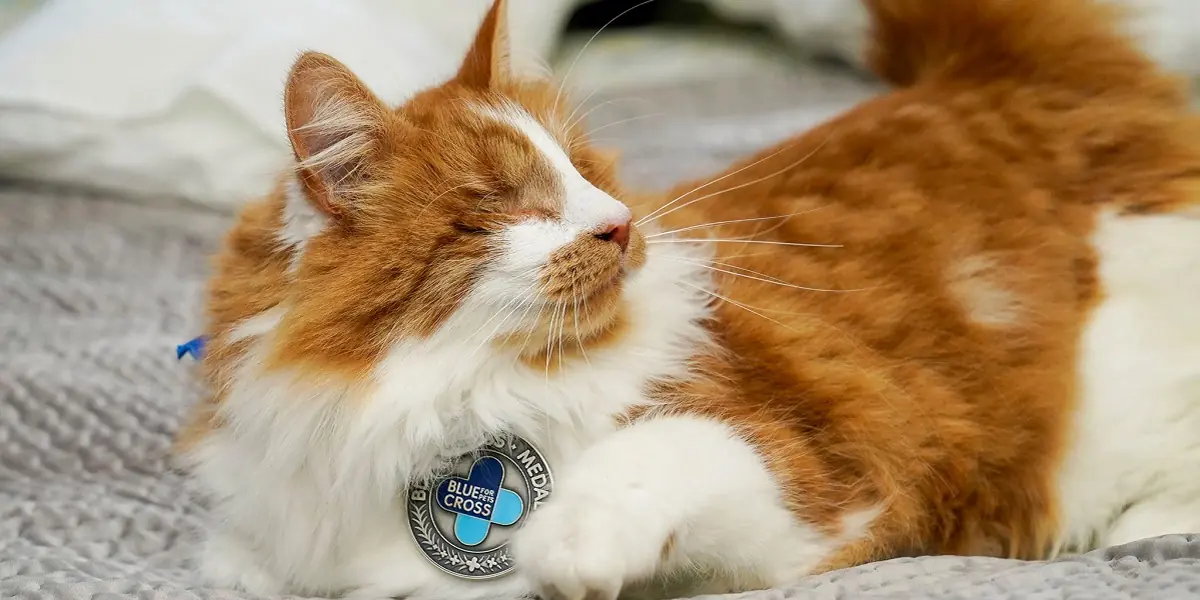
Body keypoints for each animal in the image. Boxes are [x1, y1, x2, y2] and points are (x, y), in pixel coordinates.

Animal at [174, 1, 1200, 600]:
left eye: (585, 172)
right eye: (510, 202)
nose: (618, 225)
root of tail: (982, 76)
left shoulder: (813, 490)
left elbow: (656, 453)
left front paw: (568, 546)